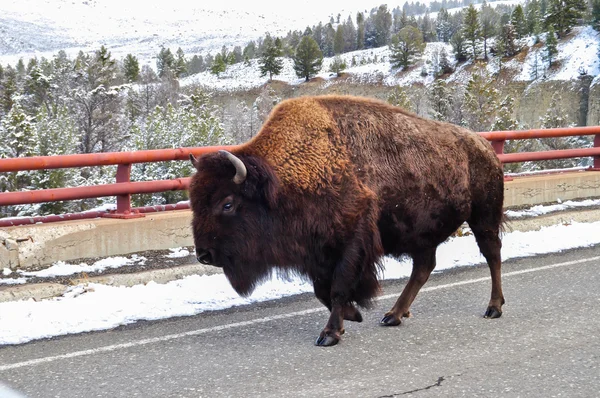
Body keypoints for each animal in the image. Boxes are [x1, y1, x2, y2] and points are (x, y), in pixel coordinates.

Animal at [189, 95, 506, 346]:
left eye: (227, 203)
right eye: (194, 201)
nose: (204, 254)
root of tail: (484, 146)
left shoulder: (352, 241)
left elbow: (338, 286)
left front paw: (330, 333)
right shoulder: (317, 253)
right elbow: (321, 290)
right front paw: (354, 315)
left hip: (484, 218)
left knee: (492, 255)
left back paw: (494, 308)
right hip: (423, 235)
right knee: (423, 268)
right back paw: (394, 315)